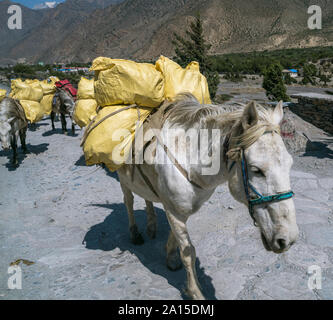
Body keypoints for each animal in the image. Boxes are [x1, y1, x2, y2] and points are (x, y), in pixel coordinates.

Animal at [116, 95, 298, 300]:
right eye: (256, 170)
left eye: (290, 165)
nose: (288, 239)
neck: (189, 159)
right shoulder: (174, 210)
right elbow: (187, 251)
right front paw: (195, 292)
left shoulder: (180, 209)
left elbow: (175, 237)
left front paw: (170, 257)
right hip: (123, 180)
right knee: (129, 202)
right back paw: (135, 234)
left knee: (147, 198)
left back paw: (151, 227)